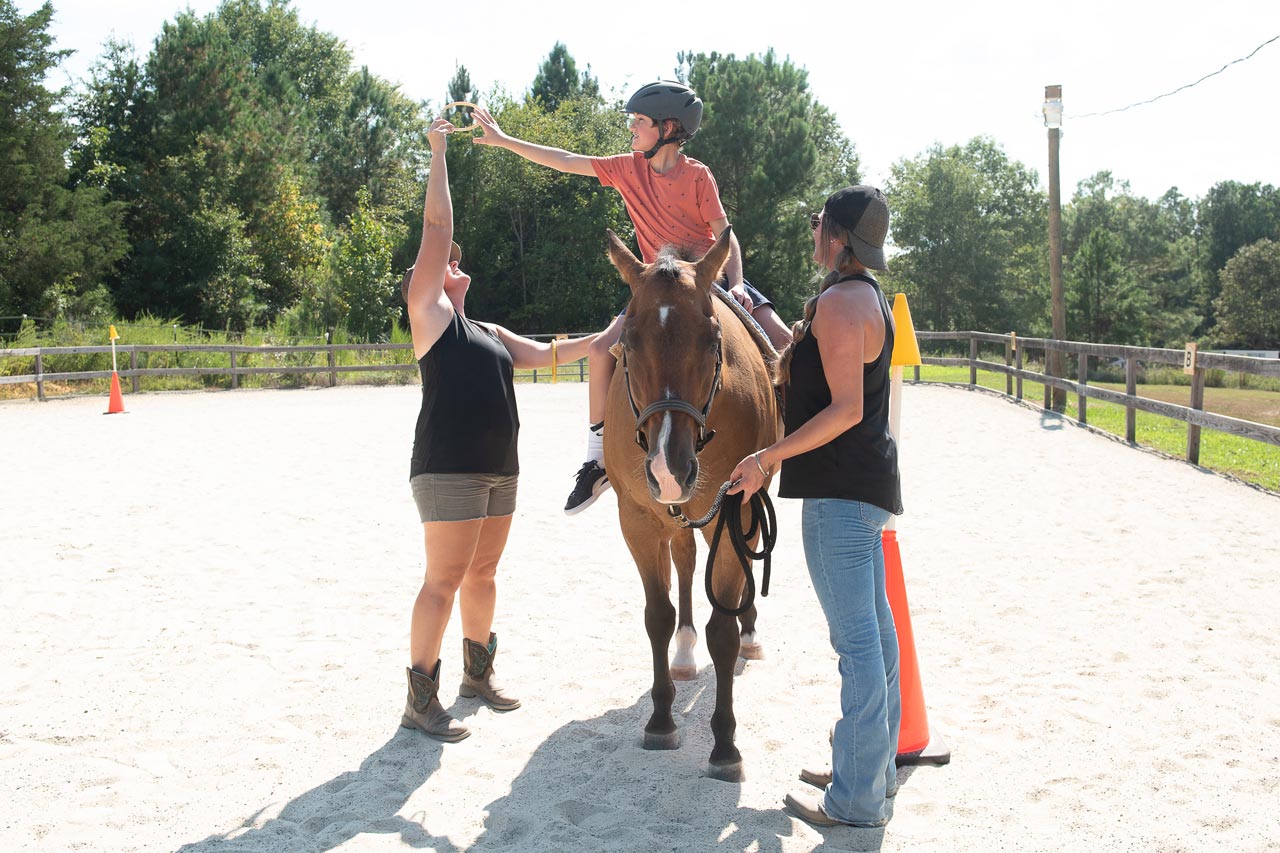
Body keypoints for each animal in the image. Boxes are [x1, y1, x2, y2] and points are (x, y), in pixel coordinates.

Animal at [599, 224, 778, 778]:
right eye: (628, 343)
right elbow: (656, 615)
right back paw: (683, 653)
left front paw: (724, 743)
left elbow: (722, 629)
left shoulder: (737, 509)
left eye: (712, 339)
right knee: (683, 561)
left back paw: (751, 633)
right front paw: (661, 719)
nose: (667, 468)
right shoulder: (637, 517)